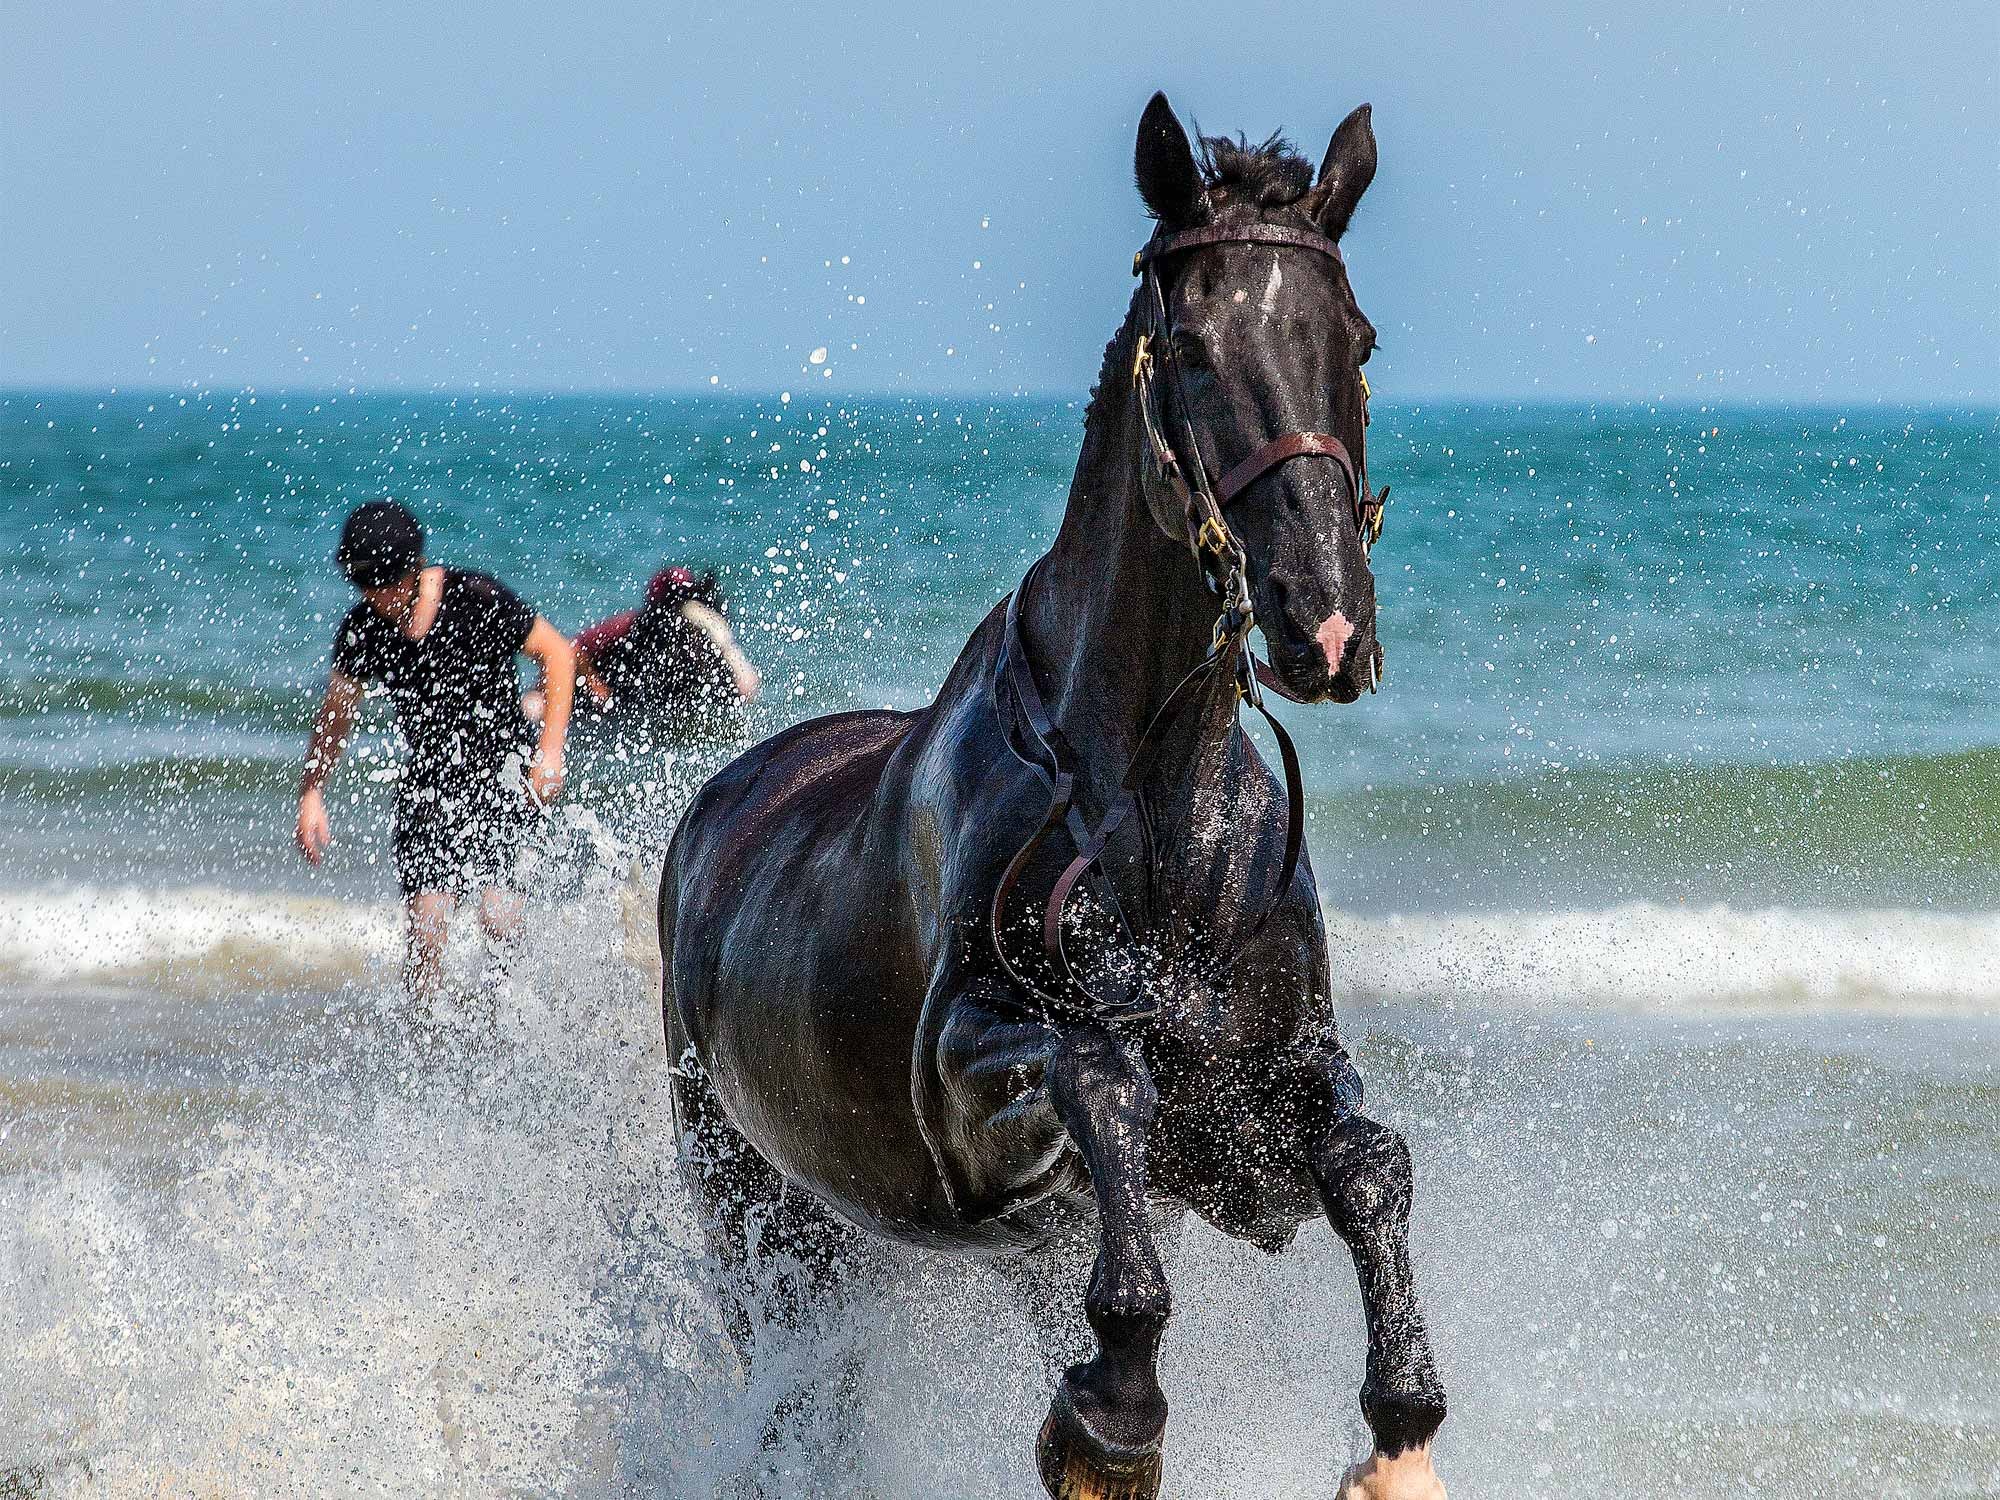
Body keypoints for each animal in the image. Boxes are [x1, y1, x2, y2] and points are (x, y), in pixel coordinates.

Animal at [664, 97, 1448, 1500]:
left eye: (1353, 339)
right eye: (1187, 344)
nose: (1322, 625)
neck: (1157, 811)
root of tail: (712, 811)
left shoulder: (1247, 1132)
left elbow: (1366, 1162)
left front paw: (1400, 1433)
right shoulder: (967, 1097)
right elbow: (1100, 1076)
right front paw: (1111, 1419)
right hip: (764, 1221)